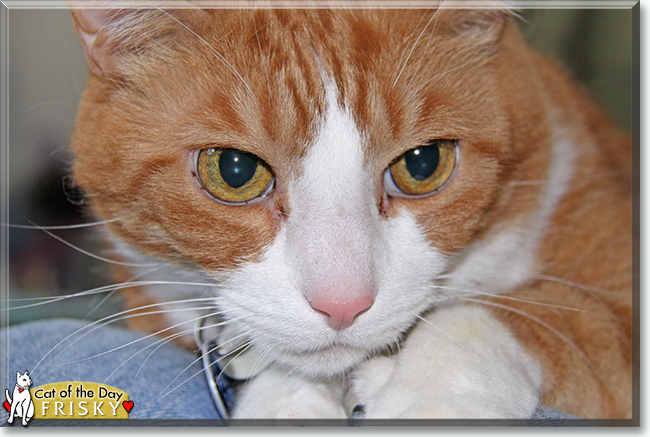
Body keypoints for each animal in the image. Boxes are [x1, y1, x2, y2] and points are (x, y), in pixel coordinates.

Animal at [67, 1, 628, 420]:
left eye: (422, 164)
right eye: (234, 170)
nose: (342, 305)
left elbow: (521, 315)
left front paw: (429, 399)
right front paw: (285, 403)